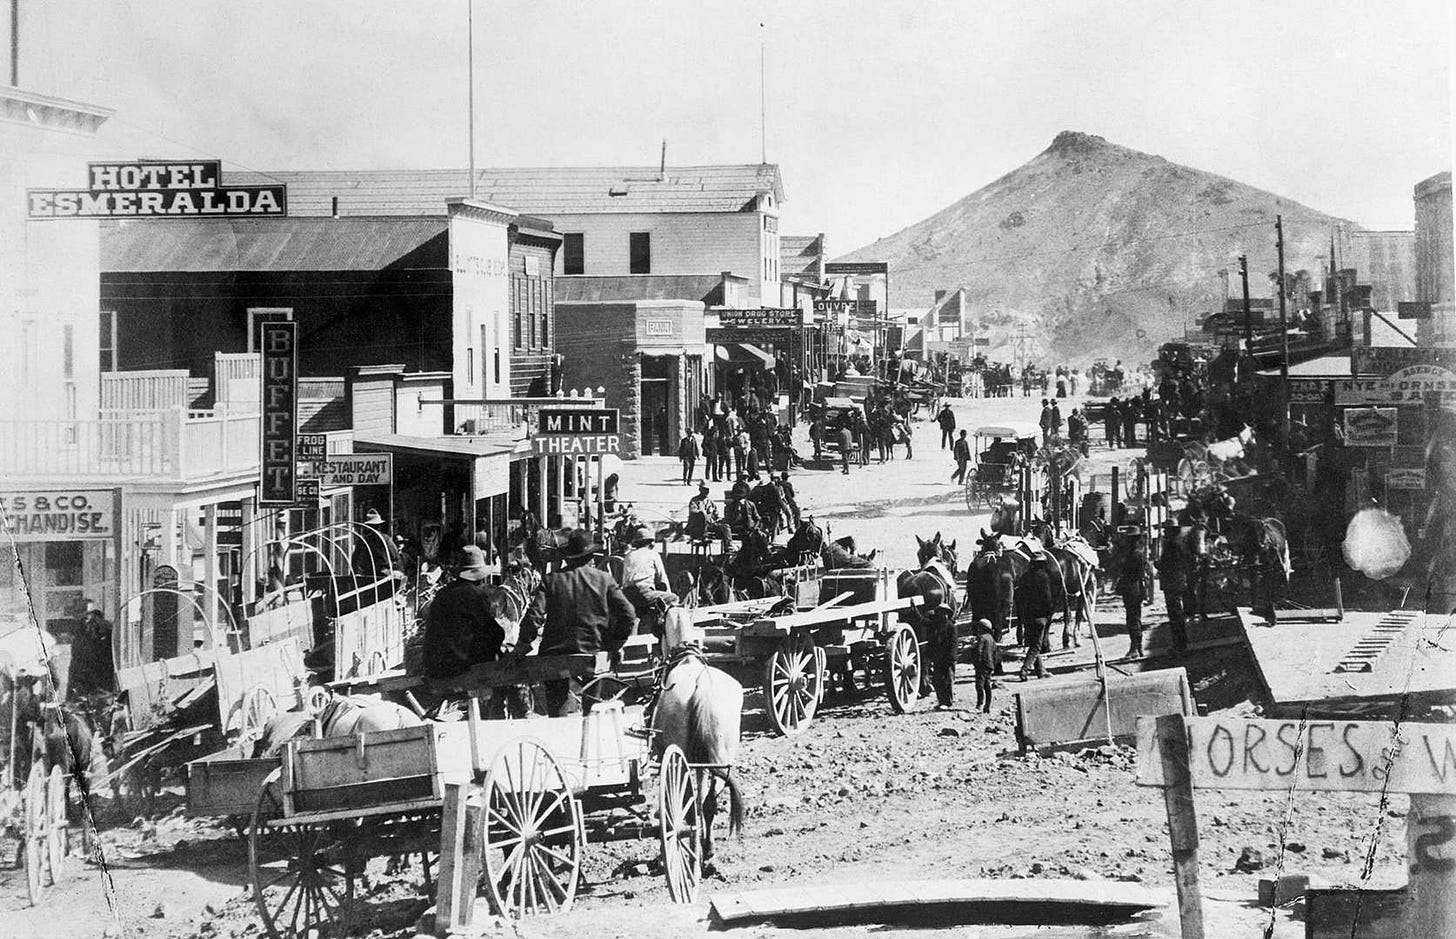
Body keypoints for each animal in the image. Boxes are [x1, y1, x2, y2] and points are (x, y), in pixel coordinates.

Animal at [655, 605, 745, 861]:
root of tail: (702, 687)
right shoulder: (702, 763)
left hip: (684, 759)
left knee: (688, 805)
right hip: (720, 760)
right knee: (708, 803)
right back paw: (708, 847)